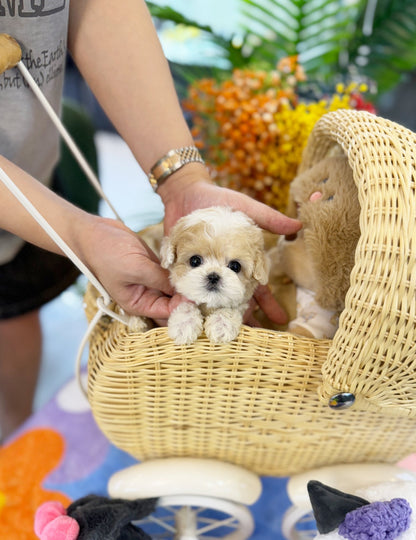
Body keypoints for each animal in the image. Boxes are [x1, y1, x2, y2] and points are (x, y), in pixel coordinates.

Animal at [159, 205, 270, 344]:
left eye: (235, 266)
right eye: (195, 261)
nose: (213, 276)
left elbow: (230, 307)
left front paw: (221, 325)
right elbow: (185, 304)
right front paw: (184, 324)